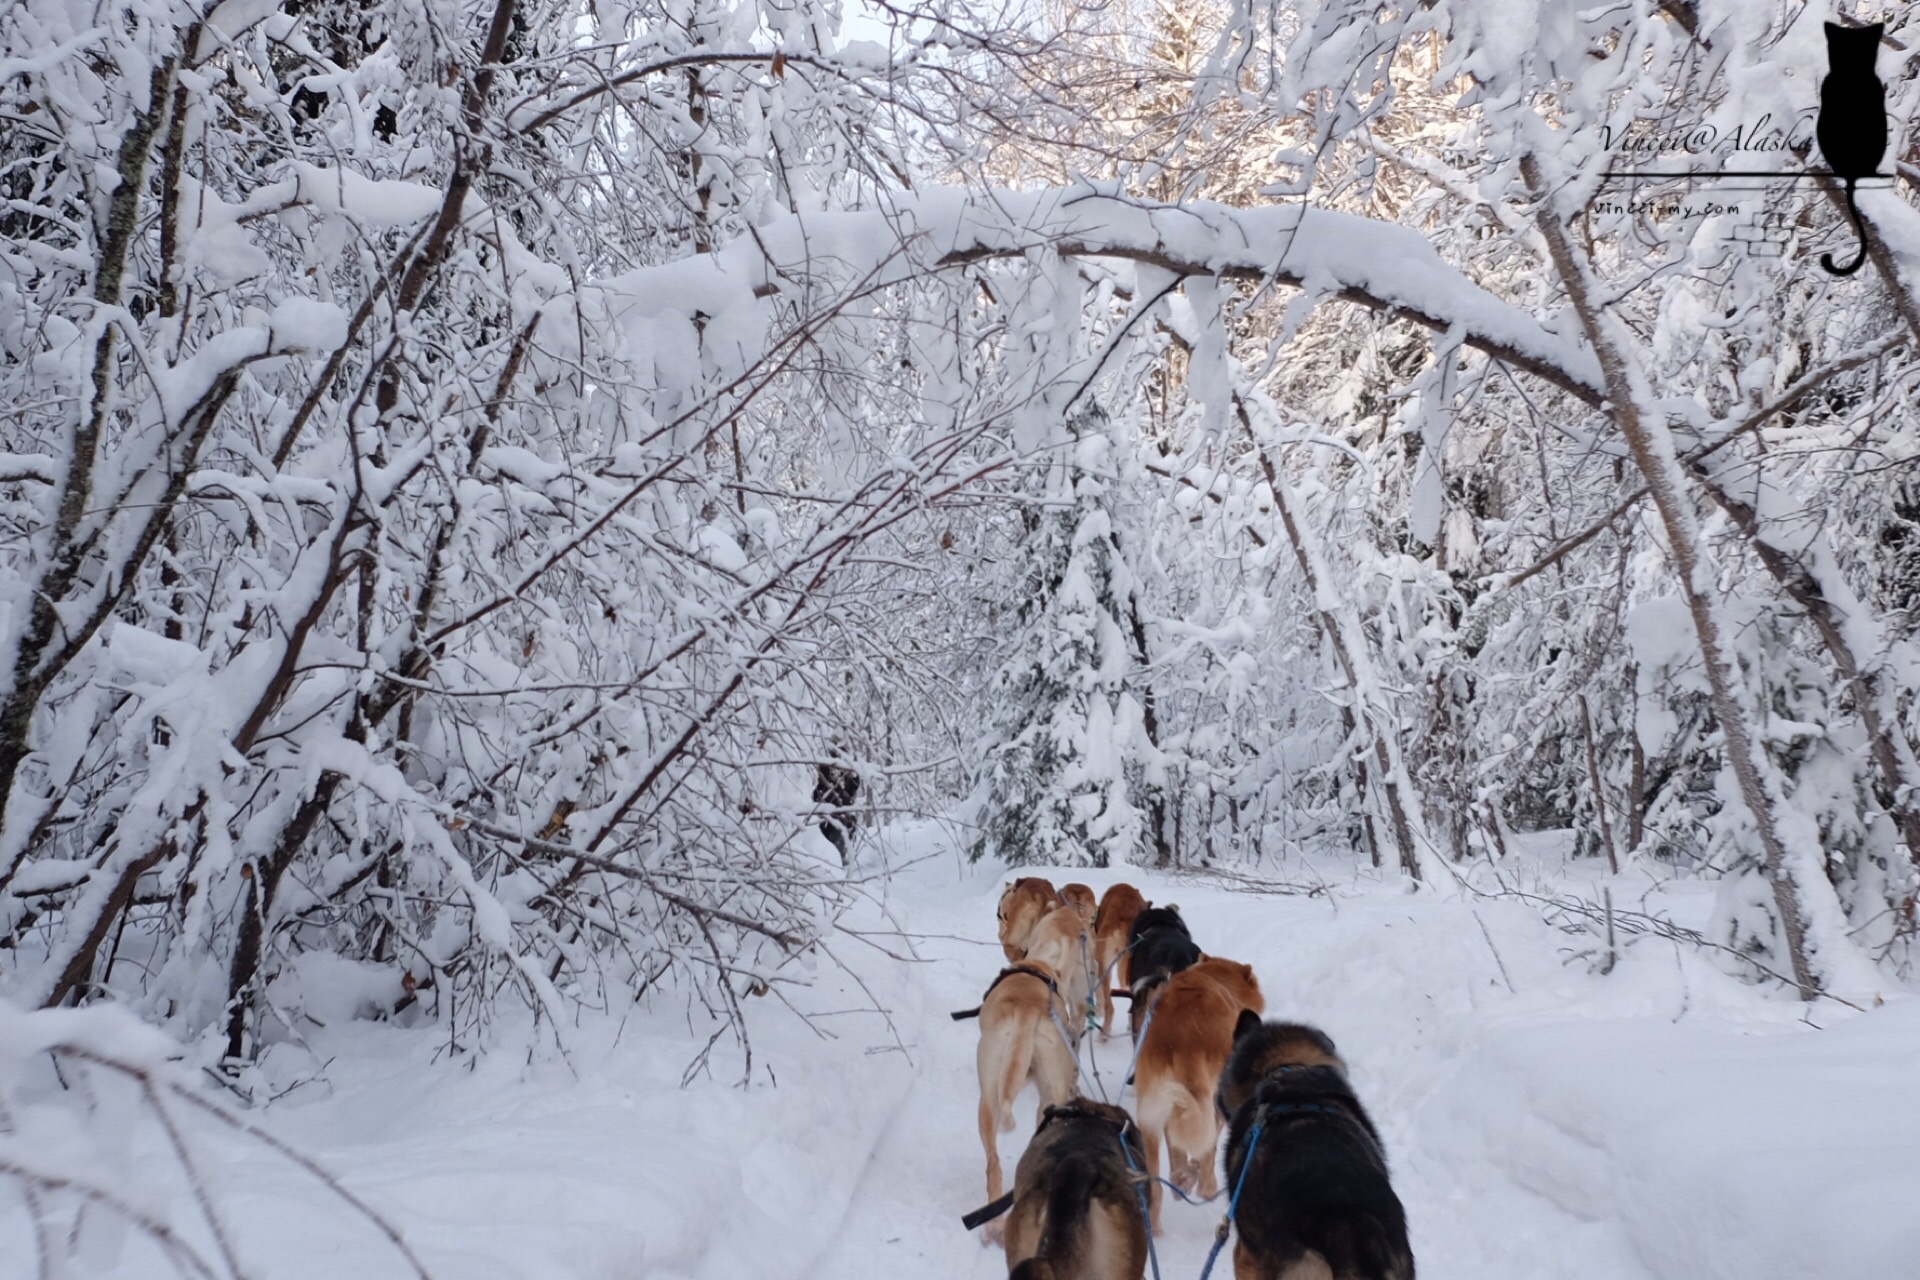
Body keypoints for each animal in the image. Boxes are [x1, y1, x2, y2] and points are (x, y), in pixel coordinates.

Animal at [1128, 955, 1267, 1235]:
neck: (1211, 975)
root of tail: (1183, 1035)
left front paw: (1181, 1177)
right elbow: (1208, 1148)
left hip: (1151, 1110)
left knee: (1157, 1182)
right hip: (1208, 1099)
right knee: (1207, 1145)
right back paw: (1205, 1185)